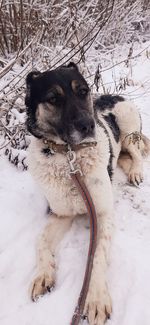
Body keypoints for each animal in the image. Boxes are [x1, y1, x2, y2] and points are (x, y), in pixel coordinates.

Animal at [25, 62, 150, 322]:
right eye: (53, 98)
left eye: (83, 91)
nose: (88, 126)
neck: (69, 157)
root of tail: (115, 96)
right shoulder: (61, 214)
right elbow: (40, 240)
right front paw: (43, 275)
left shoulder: (102, 213)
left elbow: (98, 255)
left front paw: (97, 298)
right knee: (123, 157)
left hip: (127, 130)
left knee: (135, 153)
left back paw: (135, 172)